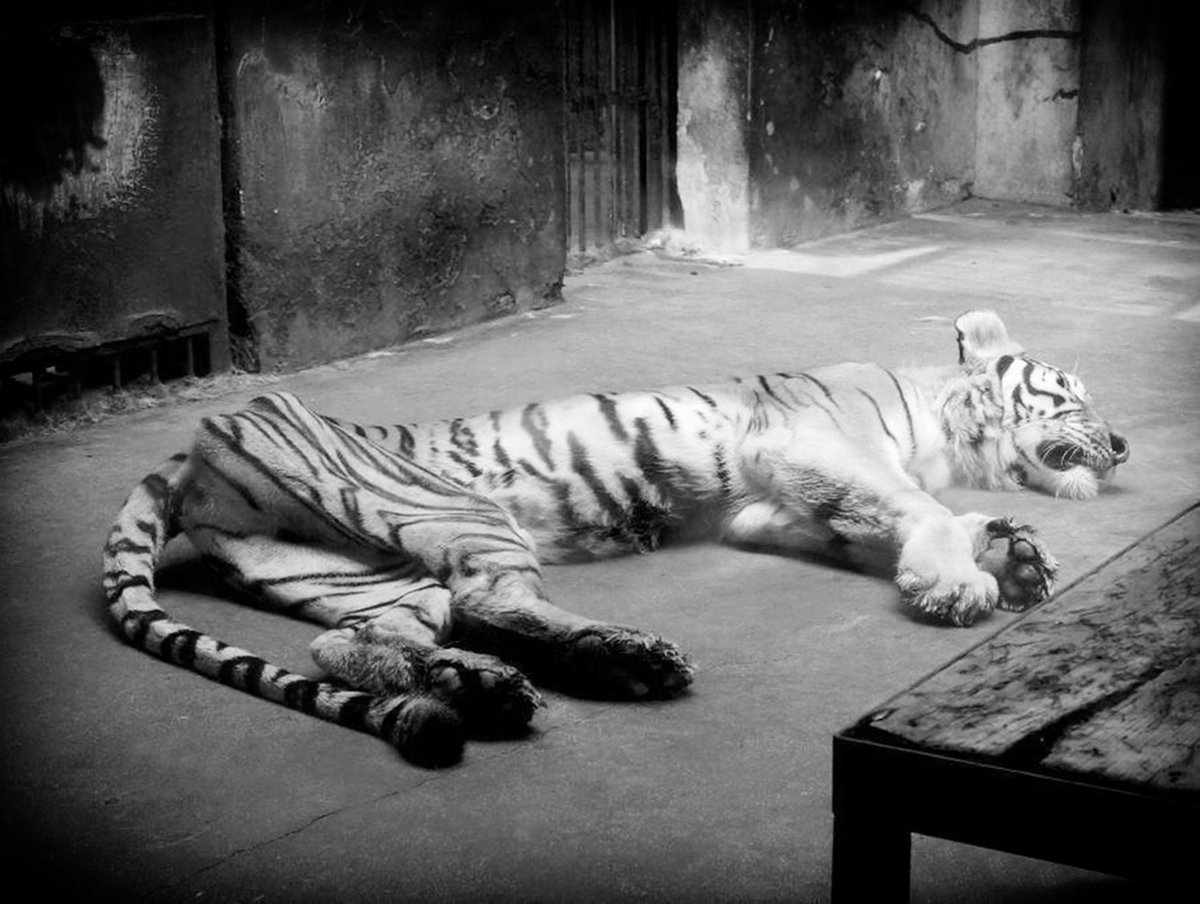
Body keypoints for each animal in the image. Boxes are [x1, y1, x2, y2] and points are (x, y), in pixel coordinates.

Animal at [103, 310, 1127, 767]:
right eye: (1073, 392)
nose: (1123, 444)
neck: (947, 425)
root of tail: (191, 446)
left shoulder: (771, 507)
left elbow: (887, 521)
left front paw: (1009, 548)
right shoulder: (802, 445)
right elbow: (912, 508)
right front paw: (963, 576)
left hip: (362, 575)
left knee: (355, 643)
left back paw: (476, 690)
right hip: (459, 515)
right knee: (485, 600)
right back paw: (623, 661)